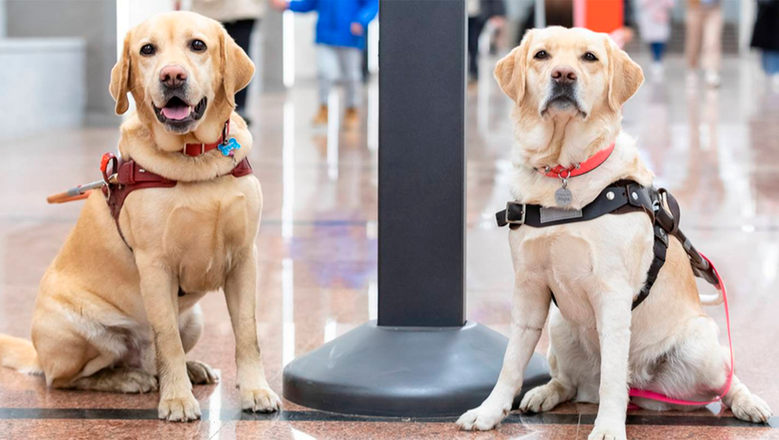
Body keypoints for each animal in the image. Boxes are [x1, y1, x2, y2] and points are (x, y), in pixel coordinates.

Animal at [0, 12, 280, 422]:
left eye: (198, 45)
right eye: (147, 50)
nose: (172, 76)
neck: (194, 158)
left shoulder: (244, 259)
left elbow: (247, 334)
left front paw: (256, 390)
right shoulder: (156, 266)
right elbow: (167, 340)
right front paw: (176, 399)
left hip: (194, 319)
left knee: (155, 357)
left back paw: (189, 369)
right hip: (77, 330)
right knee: (67, 379)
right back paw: (128, 378)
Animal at [454, 26, 772, 436]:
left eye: (589, 57)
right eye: (542, 55)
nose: (563, 75)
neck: (565, 172)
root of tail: (647, 391)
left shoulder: (612, 292)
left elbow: (612, 378)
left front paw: (607, 427)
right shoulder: (528, 287)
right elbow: (511, 361)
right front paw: (490, 410)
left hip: (701, 346)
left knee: (725, 381)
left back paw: (748, 402)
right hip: (560, 325)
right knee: (571, 382)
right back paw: (545, 393)